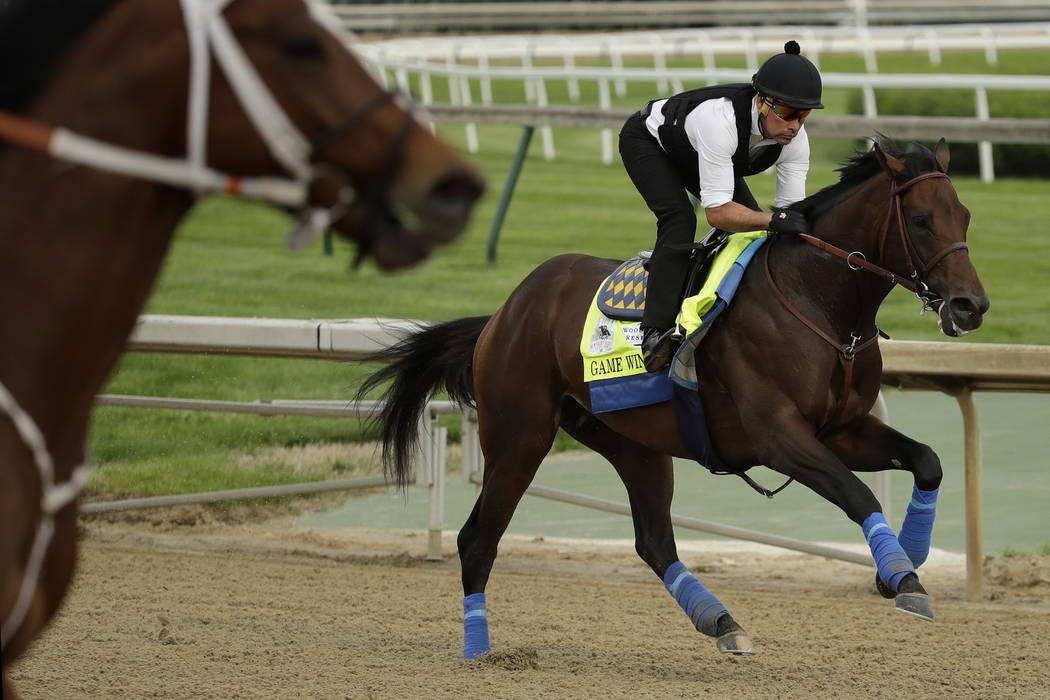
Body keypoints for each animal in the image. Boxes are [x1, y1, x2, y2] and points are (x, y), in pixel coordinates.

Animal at [365, 136, 986, 659]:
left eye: (965, 216)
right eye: (922, 220)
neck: (817, 303)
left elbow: (927, 462)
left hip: (634, 443)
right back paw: (478, 649)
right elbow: (857, 494)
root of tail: (504, 311)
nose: (970, 306)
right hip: (519, 438)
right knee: (478, 539)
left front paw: (900, 564)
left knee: (655, 542)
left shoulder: (844, 429)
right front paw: (903, 578)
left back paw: (723, 623)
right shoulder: (779, 436)